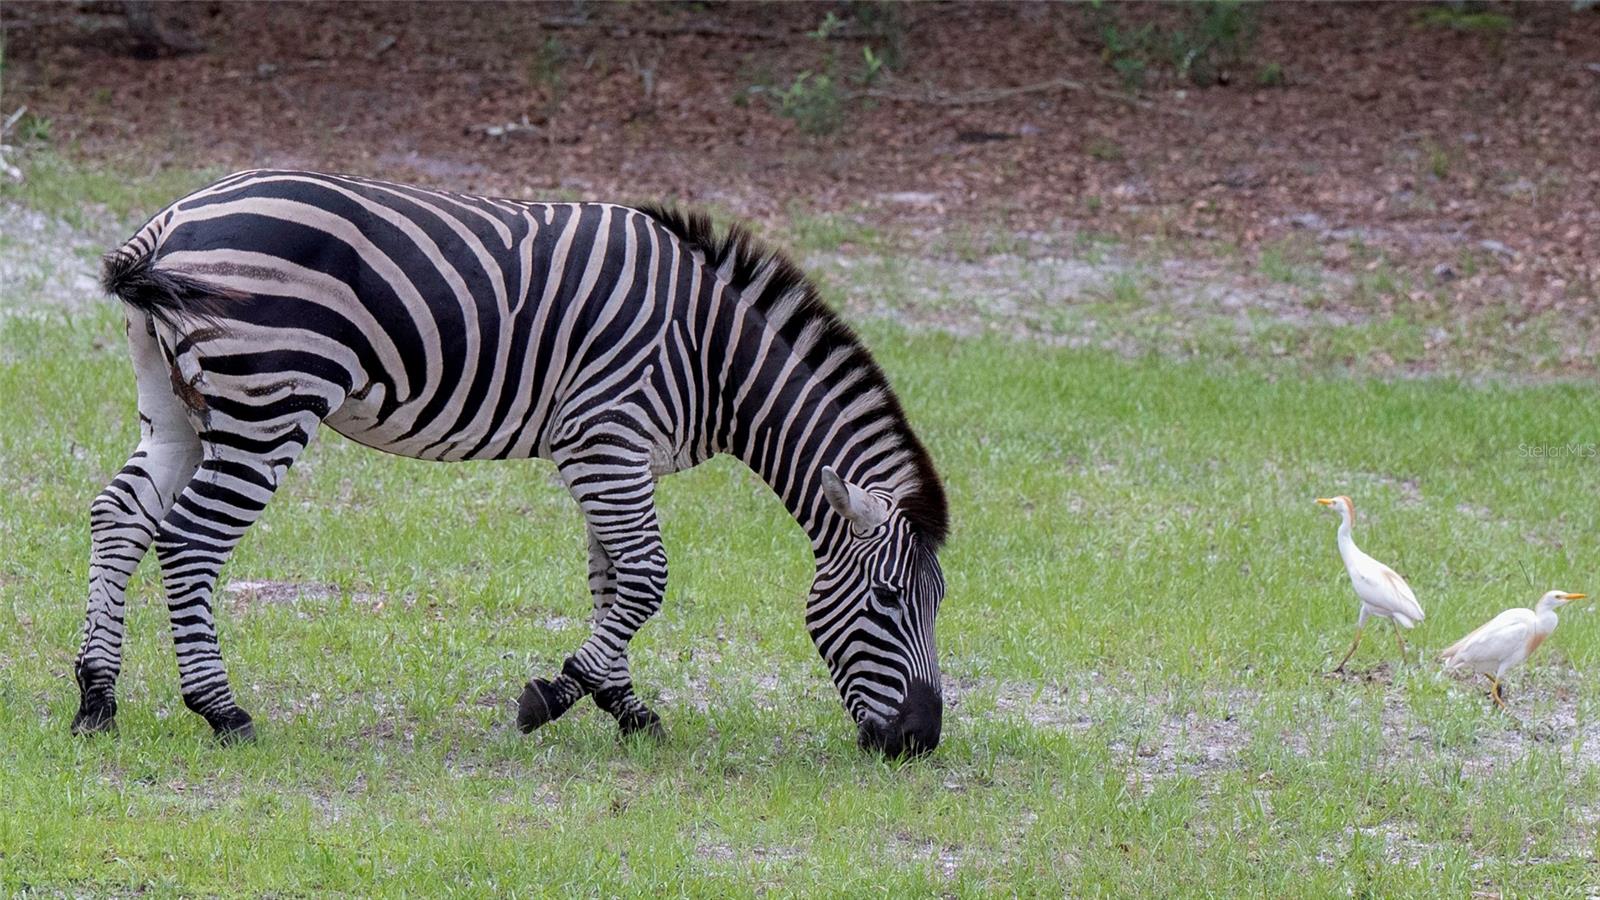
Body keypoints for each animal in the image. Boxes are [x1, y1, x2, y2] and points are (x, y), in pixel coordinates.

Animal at [78, 166, 947, 749]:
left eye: (936, 604)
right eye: (887, 602)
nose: (920, 741)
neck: (714, 353)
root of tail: (170, 222)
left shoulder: (611, 454)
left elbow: (613, 581)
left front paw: (624, 707)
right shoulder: (607, 437)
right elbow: (646, 579)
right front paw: (552, 697)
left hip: (180, 404)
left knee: (120, 517)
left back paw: (95, 699)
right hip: (271, 402)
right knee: (190, 541)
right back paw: (221, 711)